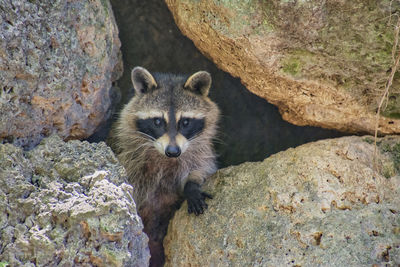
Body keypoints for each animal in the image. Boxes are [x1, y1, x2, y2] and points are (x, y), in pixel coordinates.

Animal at [114, 66, 220, 266]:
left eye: (185, 122)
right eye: (157, 121)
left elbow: (203, 167)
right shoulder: (127, 151)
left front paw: (192, 185)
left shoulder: (200, 149)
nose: (173, 151)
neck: (165, 158)